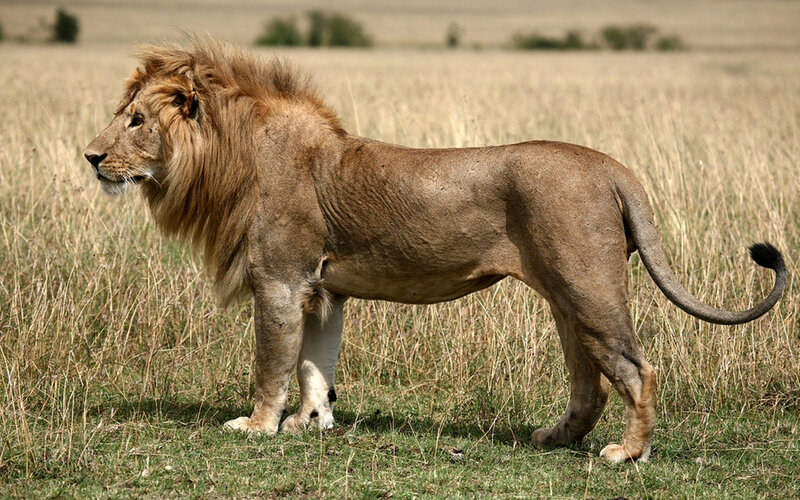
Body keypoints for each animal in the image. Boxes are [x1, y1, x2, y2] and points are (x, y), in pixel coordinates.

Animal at [83, 39, 786, 463]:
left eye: (136, 120)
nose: (90, 157)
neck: (232, 157)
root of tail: (614, 166)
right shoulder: (322, 288)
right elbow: (315, 364)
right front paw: (311, 423)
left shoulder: (280, 280)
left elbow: (271, 363)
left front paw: (256, 427)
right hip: (566, 295)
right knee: (590, 381)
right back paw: (552, 438)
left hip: (590, 286)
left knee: (638, 369)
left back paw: (625, 455)